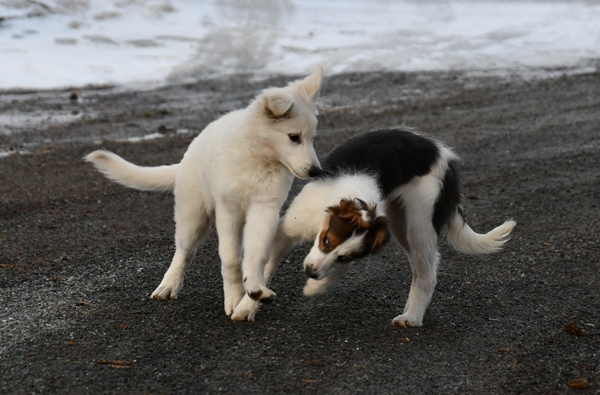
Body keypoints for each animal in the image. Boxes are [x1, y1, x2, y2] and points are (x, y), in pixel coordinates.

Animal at [84, 68, 324, 322]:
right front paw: (234, 298)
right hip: (192, 217)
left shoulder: (265, 207)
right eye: (293, 137)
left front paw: (254, 290)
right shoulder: (228, 208)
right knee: (183, 252)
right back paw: (168, 285)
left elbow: (256, 254)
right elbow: (230, 259)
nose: (316, 171)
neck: (259, 157)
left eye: (311, 137)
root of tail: (188, 155)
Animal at [231, 127, 516, 328]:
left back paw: (412, 317)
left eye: (341, 254)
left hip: (420, 222)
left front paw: (313, 288)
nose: (311, 273)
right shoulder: (286, 231)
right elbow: (264, 266)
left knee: (426, 274)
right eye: (326, 241)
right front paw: (247, 306)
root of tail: (444, 154)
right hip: (400, 224)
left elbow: (334, 272)